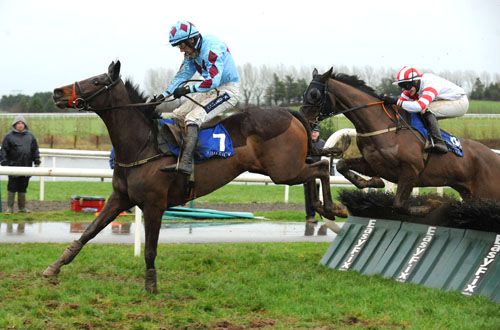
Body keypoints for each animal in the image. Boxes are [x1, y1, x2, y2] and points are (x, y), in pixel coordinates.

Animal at [45, 60, 346, 292]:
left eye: (96, 81)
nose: (57, 92)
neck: (144, 145)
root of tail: (290, 114)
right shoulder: (120, 198)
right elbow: (89, 231)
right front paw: (55, 267)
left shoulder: (154, 205)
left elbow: (150, 249)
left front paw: (151, 285)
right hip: (284, 170)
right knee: (315, 171)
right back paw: (323, 207)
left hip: (284, 171)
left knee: (321, 167)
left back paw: (332, 207)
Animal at [298, 68, 500, 215]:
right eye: (305, 92)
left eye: (314, 94)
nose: (303, 119)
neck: (381, 125)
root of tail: (493, 156)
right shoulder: (374, 164)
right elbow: (342, 166)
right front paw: (372, 183)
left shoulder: (411, 171)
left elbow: (399, 205)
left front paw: (432, 204)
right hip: (470, 194)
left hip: (487, 193)